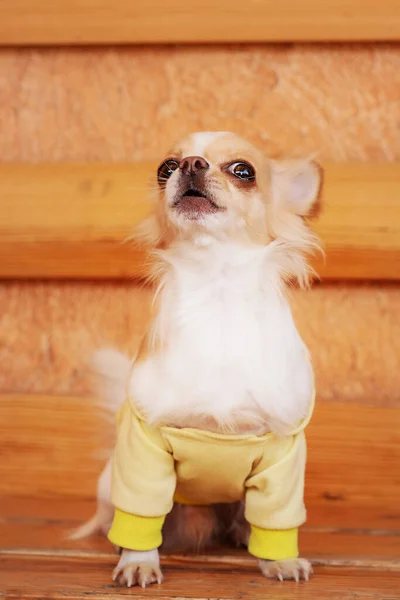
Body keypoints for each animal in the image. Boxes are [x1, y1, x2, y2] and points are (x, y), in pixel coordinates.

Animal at [75, 131, 324, 584]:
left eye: (244, 171)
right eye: (166, 168)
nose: (191, 164)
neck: (217, 290)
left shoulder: (282, 453)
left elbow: (277, 518)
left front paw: (280, 560)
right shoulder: (145, 446)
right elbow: (141, 514)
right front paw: (138, 562)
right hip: (110, 480)